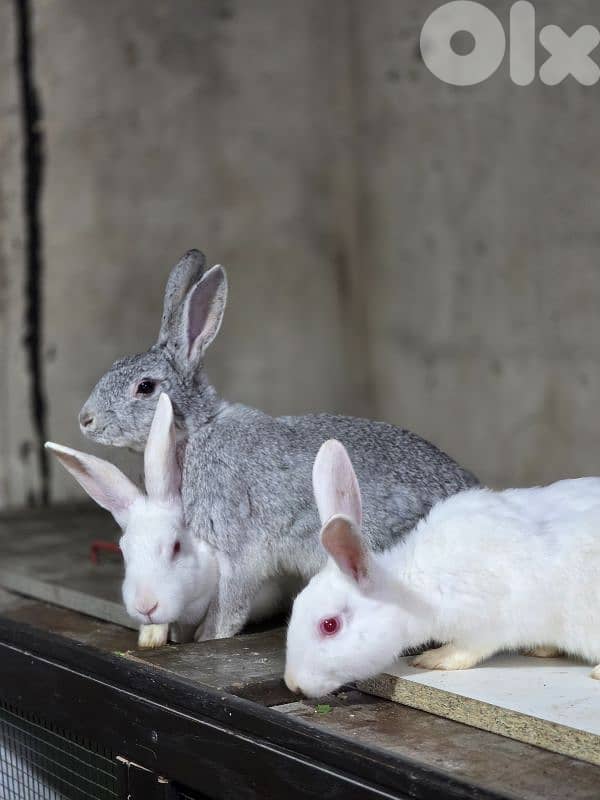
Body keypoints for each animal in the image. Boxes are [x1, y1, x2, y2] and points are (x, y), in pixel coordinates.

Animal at [77, 249, 479, 640]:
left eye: (145, 387)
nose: (85, 420)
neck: (197, 431)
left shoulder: (236, 544)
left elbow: (230, 602)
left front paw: (209, 637)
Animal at [284, 439, 600, 698]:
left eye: (329, 625)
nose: (292, 683)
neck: (414, 591)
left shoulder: (489, 622)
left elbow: (468, 649)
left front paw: (434, 659)